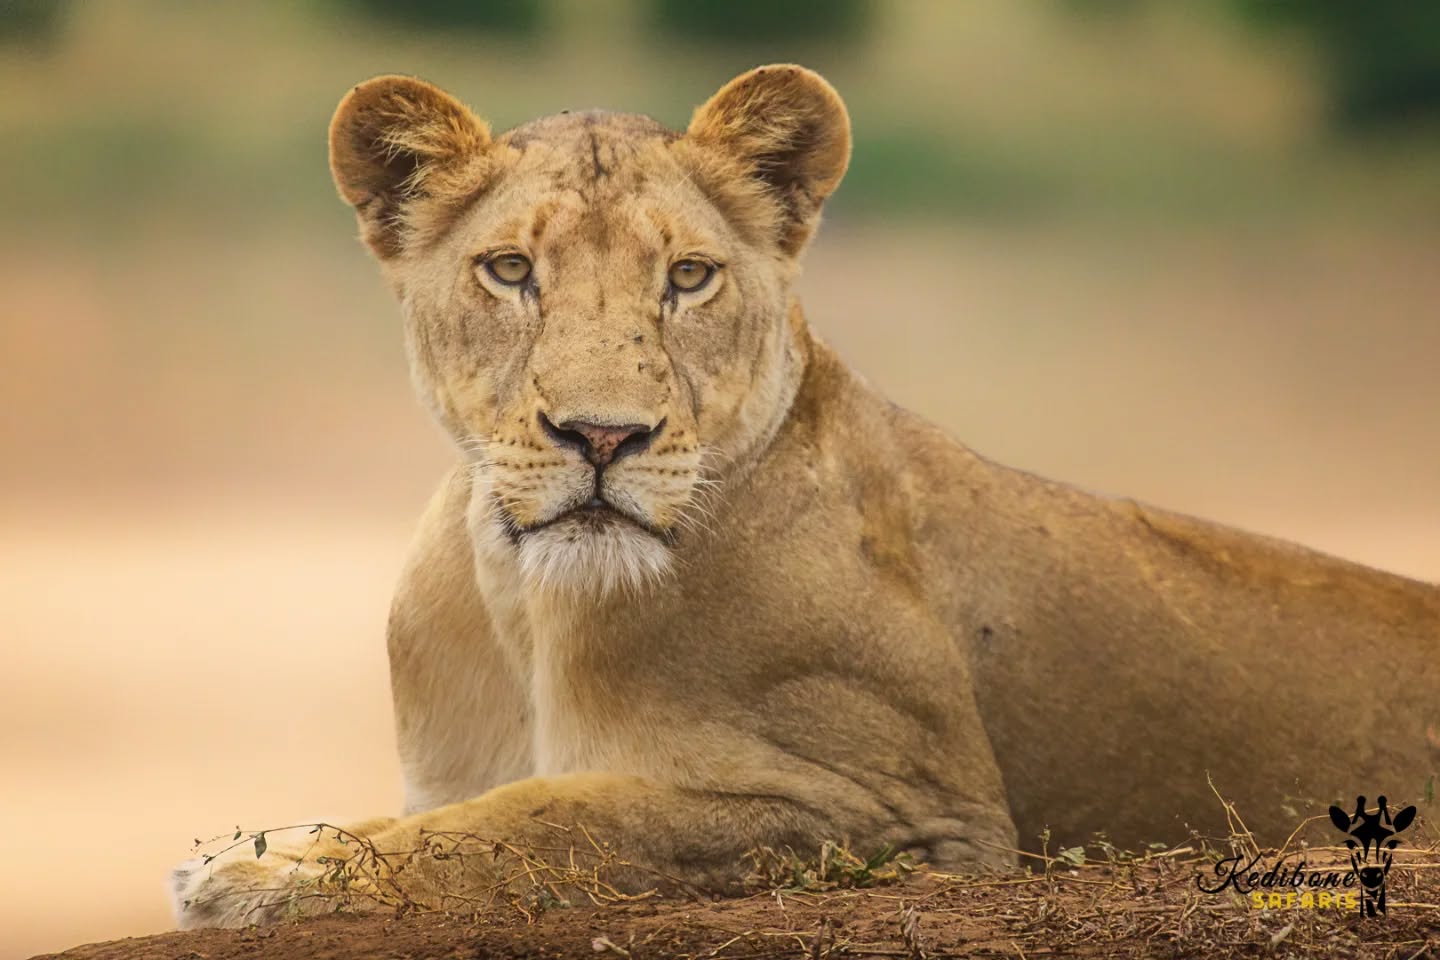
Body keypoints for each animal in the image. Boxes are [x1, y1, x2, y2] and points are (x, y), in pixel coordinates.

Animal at [171, 65, 1440, 928]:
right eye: (510, 270)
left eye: (688, 277)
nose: (603, 435)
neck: (531, 606)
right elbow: (463, 813)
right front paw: (270, 845)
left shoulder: (903, 811)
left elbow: (556, 815)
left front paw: (272, 870)